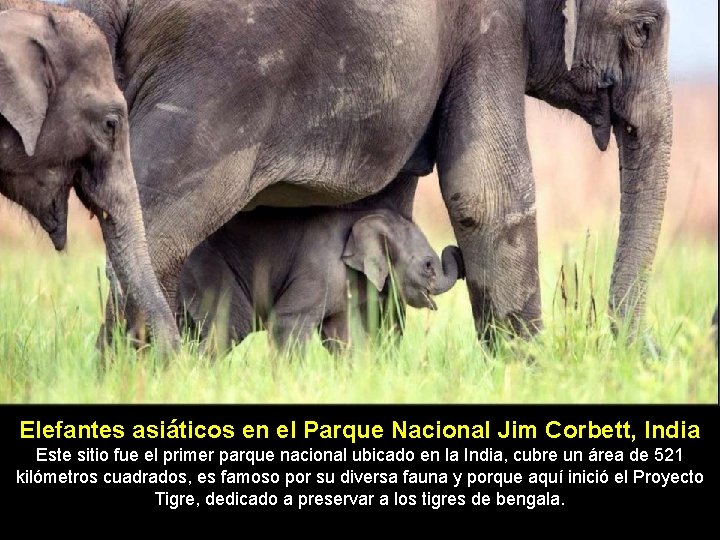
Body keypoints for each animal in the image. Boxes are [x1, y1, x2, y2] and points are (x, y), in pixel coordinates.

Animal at [177, 206, 464, 350]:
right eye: (428, 266)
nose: (456, 250)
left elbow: (342, 335)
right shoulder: (321, 270)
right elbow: (287, 323)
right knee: (229, 328)